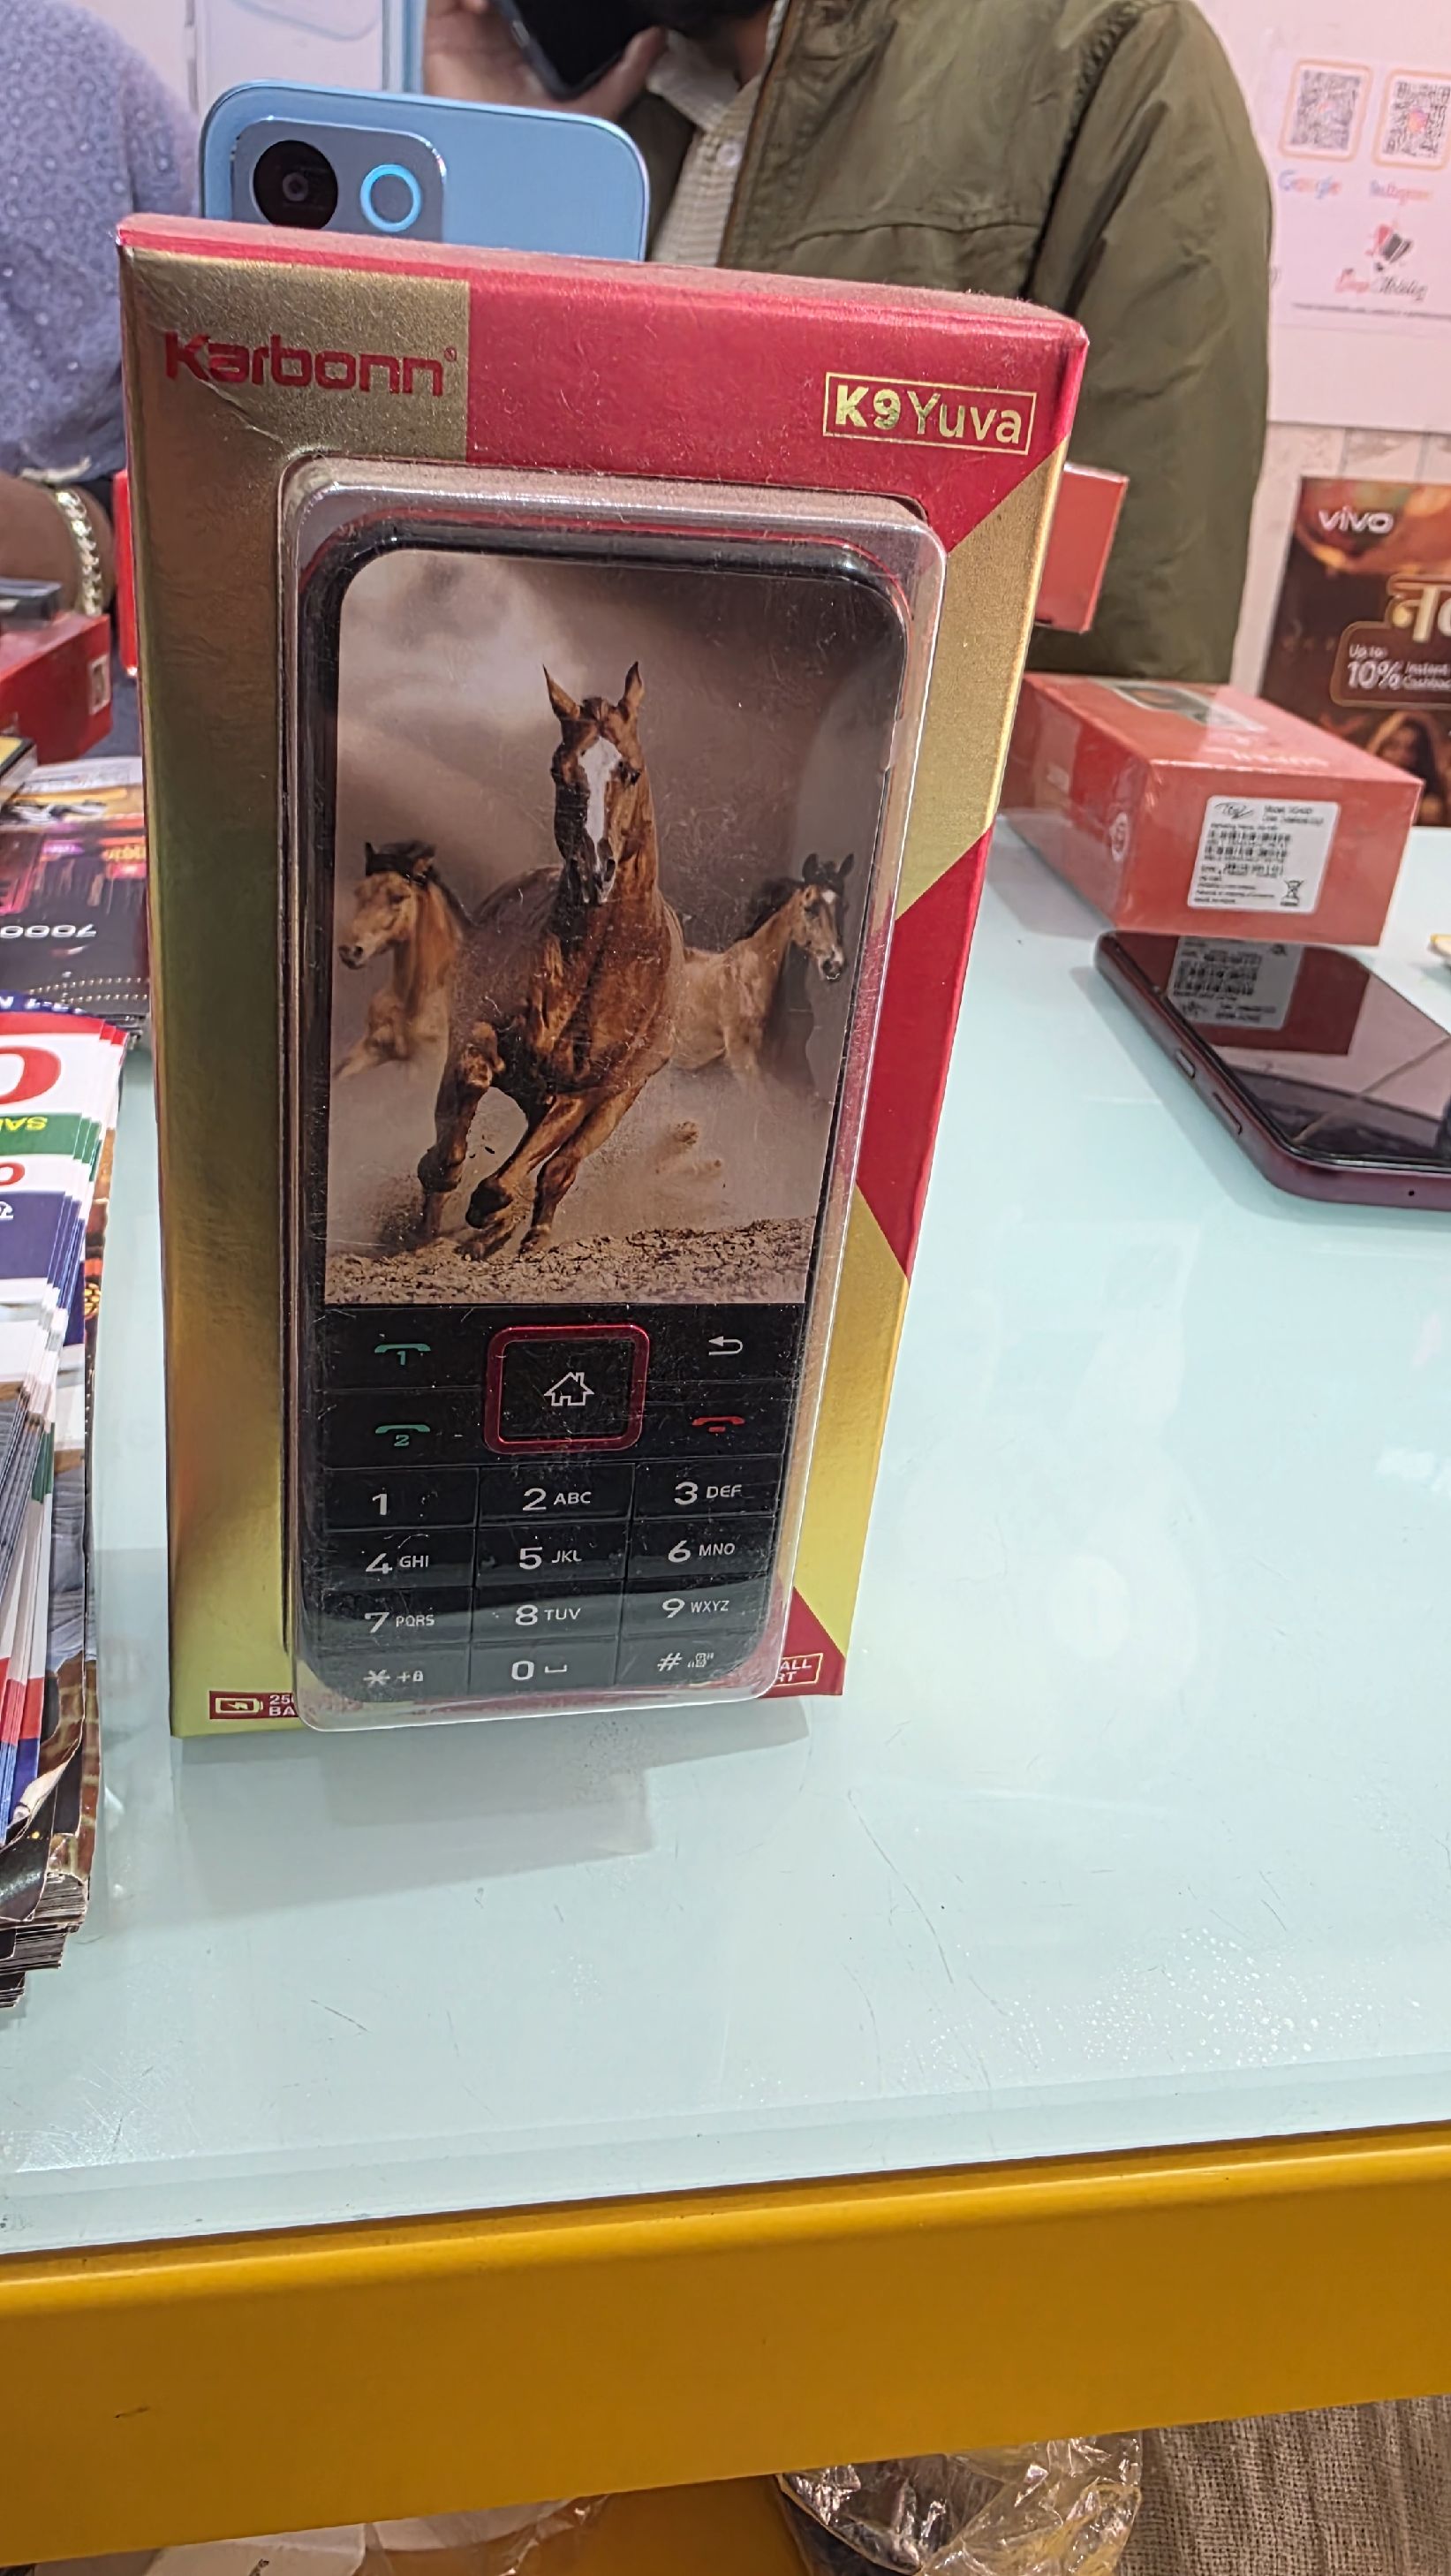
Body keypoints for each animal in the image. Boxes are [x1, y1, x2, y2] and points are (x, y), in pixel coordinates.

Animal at [417, 663, 685, 1259]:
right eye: (559, 772)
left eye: (630, 771)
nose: (594, 871)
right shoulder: (480, 1031)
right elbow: (469, 1082)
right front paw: (446, 1188)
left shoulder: (586, 1093)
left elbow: (524, 1174)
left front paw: (491, 1216)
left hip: (617, 1100)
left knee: (559, 1169)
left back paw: (527, 1237)